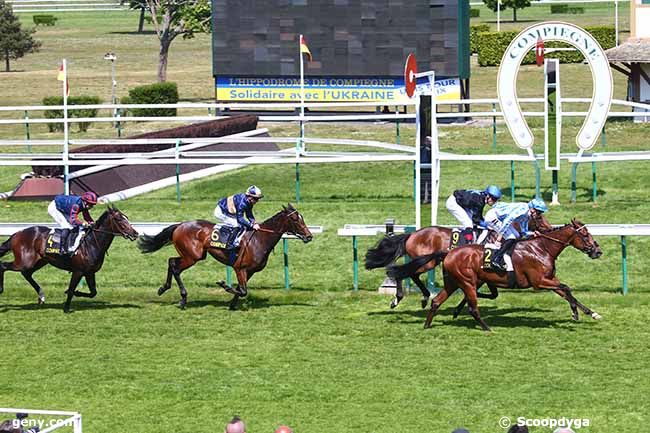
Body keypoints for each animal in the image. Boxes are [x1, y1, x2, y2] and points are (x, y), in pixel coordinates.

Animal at [0, 206, 137, 310]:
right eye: (119, 219)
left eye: (126, 217)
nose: (135, 233)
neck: (91, 243)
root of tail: (16, 234)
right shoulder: (78, 271)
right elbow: (71, 289)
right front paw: (66, 308)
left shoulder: (89, 272)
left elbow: (93, 292)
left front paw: (75, 294)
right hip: (24, 261)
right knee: (3, 266)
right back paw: (1, 290)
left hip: (39, 261)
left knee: (26, 274)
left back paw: (41, 296)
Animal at [137, 204, 312, 308]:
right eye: (295, 219)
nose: (309, 236)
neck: (259, 239)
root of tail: (180, 225)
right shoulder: (239, 267)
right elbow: (242, 290)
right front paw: (224, 285)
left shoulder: (249, 271)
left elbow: (241, 288)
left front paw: (232, 305)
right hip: (193, 256)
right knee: (175, 266)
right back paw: (182, 299)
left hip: (193, 255)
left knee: (171, 262)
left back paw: (164, 288)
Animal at [362, 212, 548, 308]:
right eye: (539, 218)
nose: (548, 227)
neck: (499, 236)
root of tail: (412, 234)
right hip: (428, 262)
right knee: (407, 273)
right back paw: (400, 298)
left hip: (427, 261)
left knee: (410, 273)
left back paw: (422, 297)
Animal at [384, 218, 604, 330]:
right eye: (585, 235)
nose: (598, 251)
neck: (541, 248)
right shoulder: (539, 281)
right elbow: (566, 288)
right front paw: (580, 313)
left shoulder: (549, 279)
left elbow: (567, 291)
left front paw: (586, 312)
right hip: (458, 277)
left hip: (451, 281)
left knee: (437, 300)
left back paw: (427, 324)